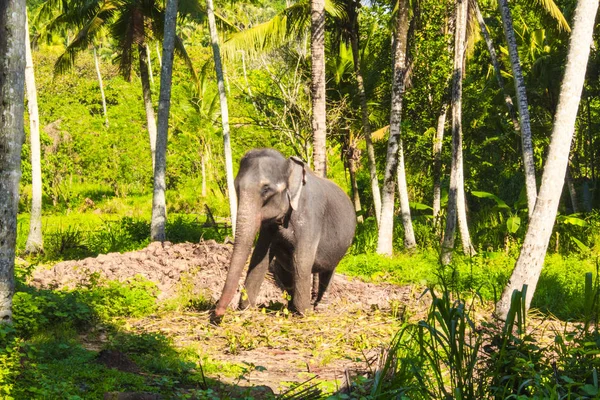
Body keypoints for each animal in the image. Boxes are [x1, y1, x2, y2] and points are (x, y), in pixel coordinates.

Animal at [213, 148, 356, 318]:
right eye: (235, 187)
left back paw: (318, 307)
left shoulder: (310, 214)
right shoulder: (269, 227)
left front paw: (305, 312)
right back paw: (291, 307)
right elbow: (260, 257)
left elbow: (301, 261)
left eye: (266, 189)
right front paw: (246, 308)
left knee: (327, 272)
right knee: (282, 269)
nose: (217, 312)